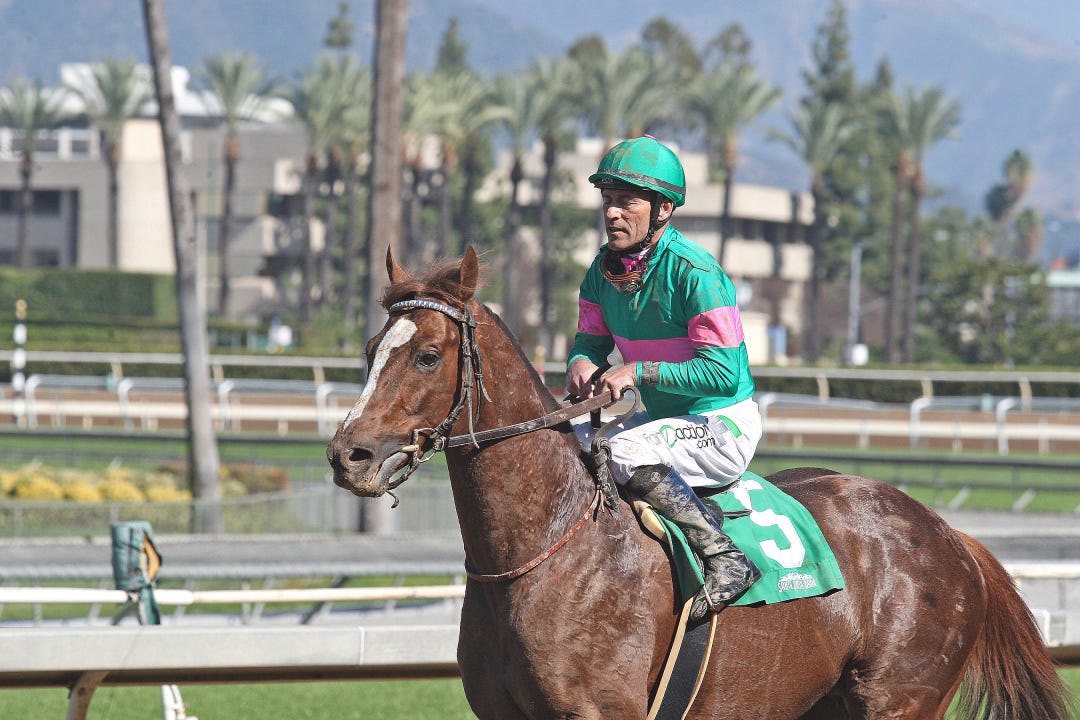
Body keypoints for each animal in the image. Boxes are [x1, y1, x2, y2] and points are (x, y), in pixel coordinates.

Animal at [327, 247, 1072, 720]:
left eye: (427, 355)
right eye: (369, 351)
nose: (348, 455)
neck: (543, 550)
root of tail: (949, 534)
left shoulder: (602, 712)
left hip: (900, 700)